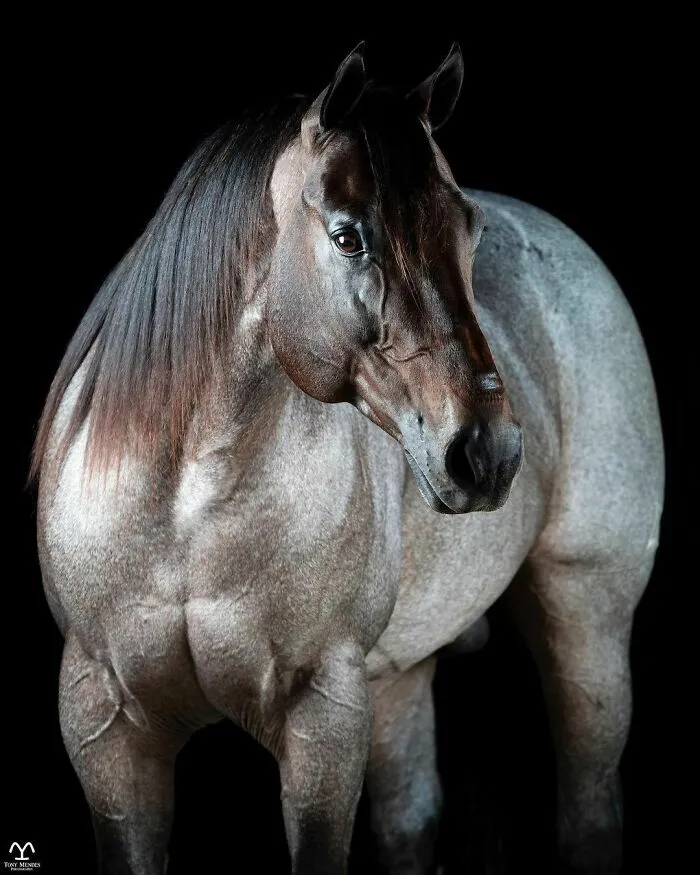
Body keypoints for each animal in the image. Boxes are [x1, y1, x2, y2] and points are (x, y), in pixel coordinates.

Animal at [31, 43, 664, 874]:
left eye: (469, 228)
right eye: (346, 236)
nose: (487, 451)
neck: (186, 509)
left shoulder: (322, 721)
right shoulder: (106, 727)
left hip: (588, 624)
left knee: (589, 810)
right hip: (400, 677)